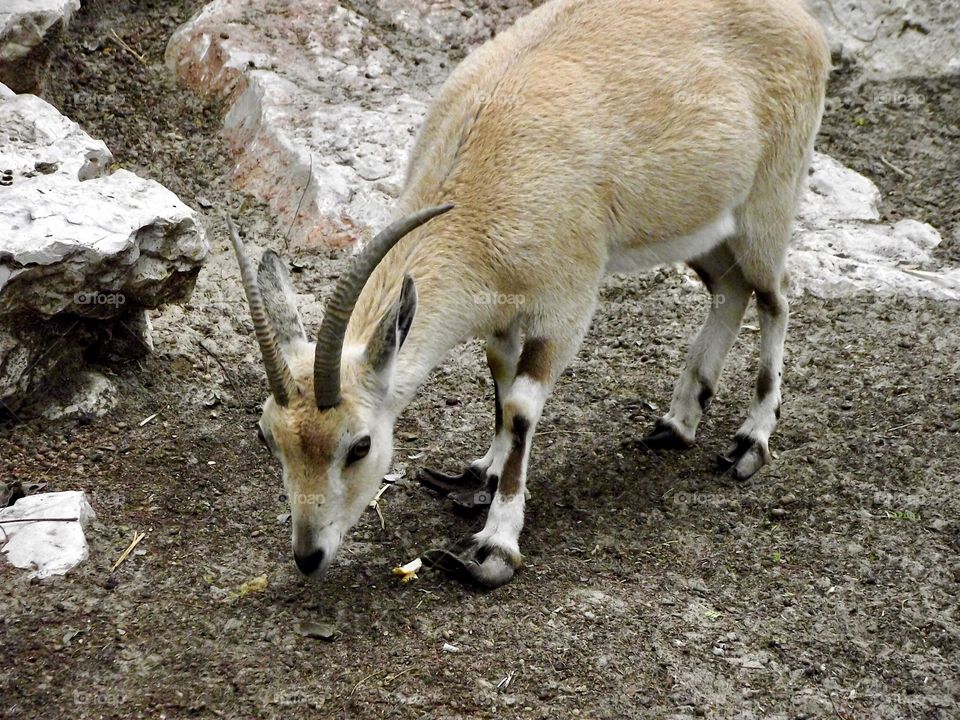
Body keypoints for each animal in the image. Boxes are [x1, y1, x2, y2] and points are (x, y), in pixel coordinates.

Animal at [228, 0, 830, 587]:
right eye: (266, 436)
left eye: (359, 445)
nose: (309, 555)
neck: (482, 179)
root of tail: (806, 26)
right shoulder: (501, 312)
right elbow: (499, 376)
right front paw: (482, 474)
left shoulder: (565, 305)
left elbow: (520, 406)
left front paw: (492, 550)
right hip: (704, 225)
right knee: (730, 289)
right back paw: (677, 423)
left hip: (767, 203)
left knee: (774, 296)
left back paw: (752, 442)